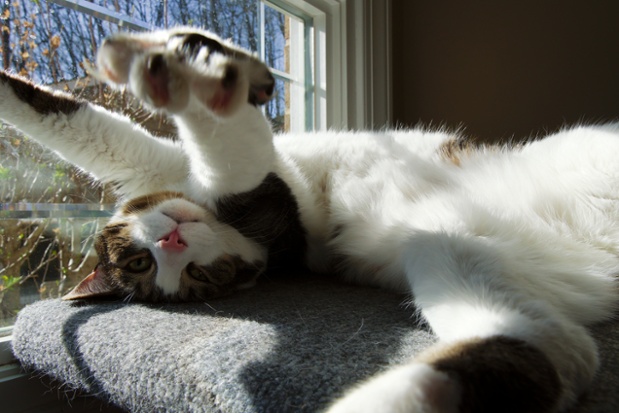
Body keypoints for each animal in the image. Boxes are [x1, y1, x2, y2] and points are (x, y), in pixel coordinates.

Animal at [1, 26, 619, 412]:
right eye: (166, 274)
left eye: (136, 260)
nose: (172, 243)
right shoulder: (270, 202)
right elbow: (233, 154)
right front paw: (202, 76)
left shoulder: (160, 164)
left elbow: (81, 125)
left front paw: (189, 65)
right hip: (446, 249)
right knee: (556, 347)